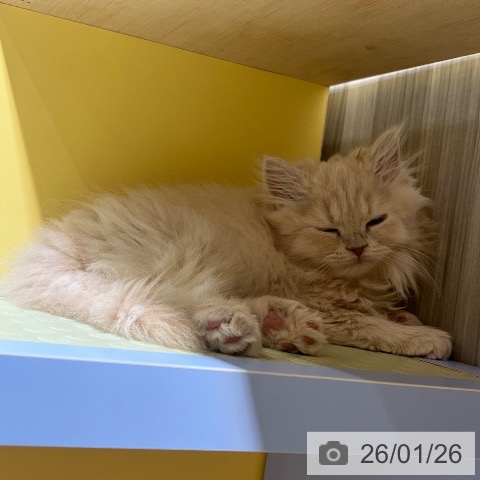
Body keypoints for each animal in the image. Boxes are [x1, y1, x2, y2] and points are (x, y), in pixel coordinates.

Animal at [3, 127, 452, 359]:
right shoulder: (325, 303)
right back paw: (242, 327)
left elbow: (381, 311)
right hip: (186, 253)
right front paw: (425, 337)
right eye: (329, 230)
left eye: (375, 222)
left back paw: (283, 328)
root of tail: (58, 239)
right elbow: (368, 324)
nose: (357, 248)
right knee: (184, 299)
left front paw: (405, 317)